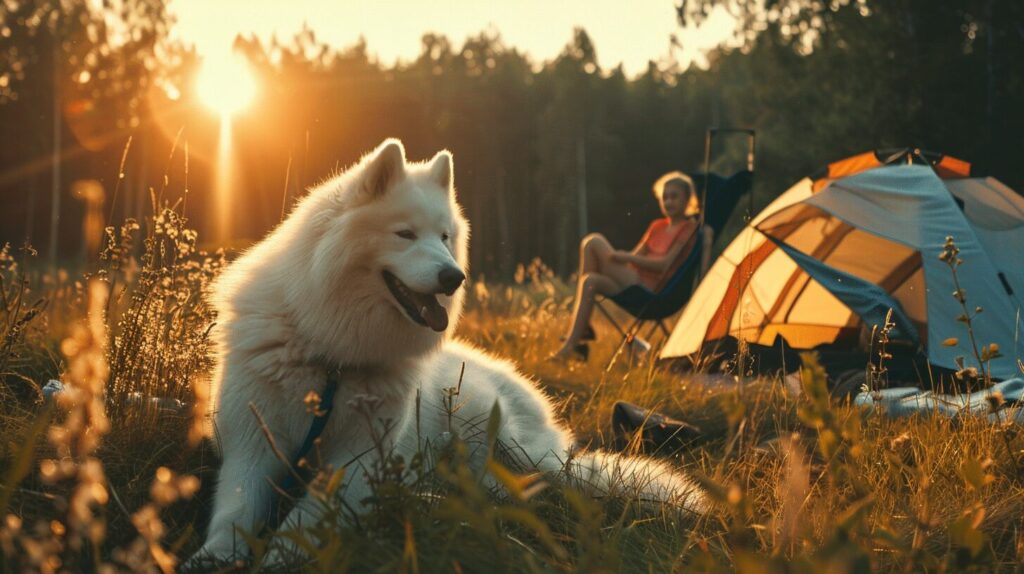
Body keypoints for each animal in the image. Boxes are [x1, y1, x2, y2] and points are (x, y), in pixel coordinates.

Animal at [190, 140, 704, 564]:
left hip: (510, 436)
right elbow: (234, 514)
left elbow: (301, 523)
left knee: (547, 483)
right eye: (404, 234)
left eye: (444, 238)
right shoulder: (253, 443)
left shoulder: (354, 458)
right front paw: (212, 559)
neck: (332, 357)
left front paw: (275, 558)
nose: (454, 277)